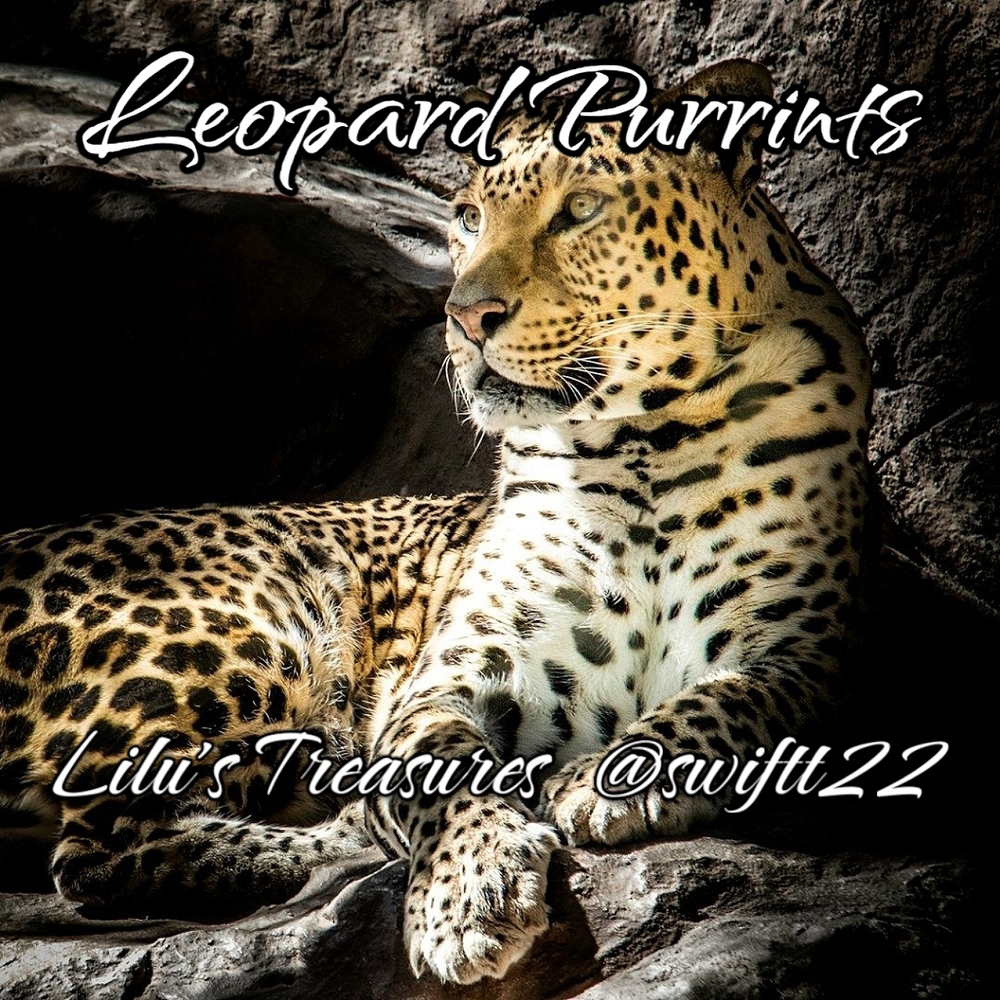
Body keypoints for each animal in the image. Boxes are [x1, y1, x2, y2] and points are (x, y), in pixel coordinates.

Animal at [0, 58, 869, 987]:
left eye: (581, 208)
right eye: (467, 216)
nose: (465, 316)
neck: (645, 442)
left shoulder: (805, 657)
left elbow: (726, 703)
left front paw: (610, 782)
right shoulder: (453, 678)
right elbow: (435, 773)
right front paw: (469, 891)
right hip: (249, 632)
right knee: (102, 846)